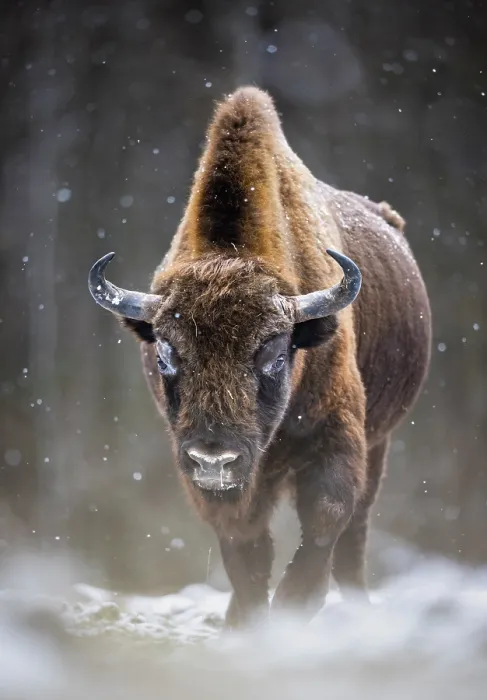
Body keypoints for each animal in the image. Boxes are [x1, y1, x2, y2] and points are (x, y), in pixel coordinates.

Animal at [89, 87, 432, 627]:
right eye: (165, 355)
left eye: (273, 353)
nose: (215, 456)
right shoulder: (220, 483)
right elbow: (245, 548)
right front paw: (250, 620)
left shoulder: (338, 439)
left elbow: (328, 520)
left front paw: (296, 606)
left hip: (380, 442)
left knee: (355, 535)